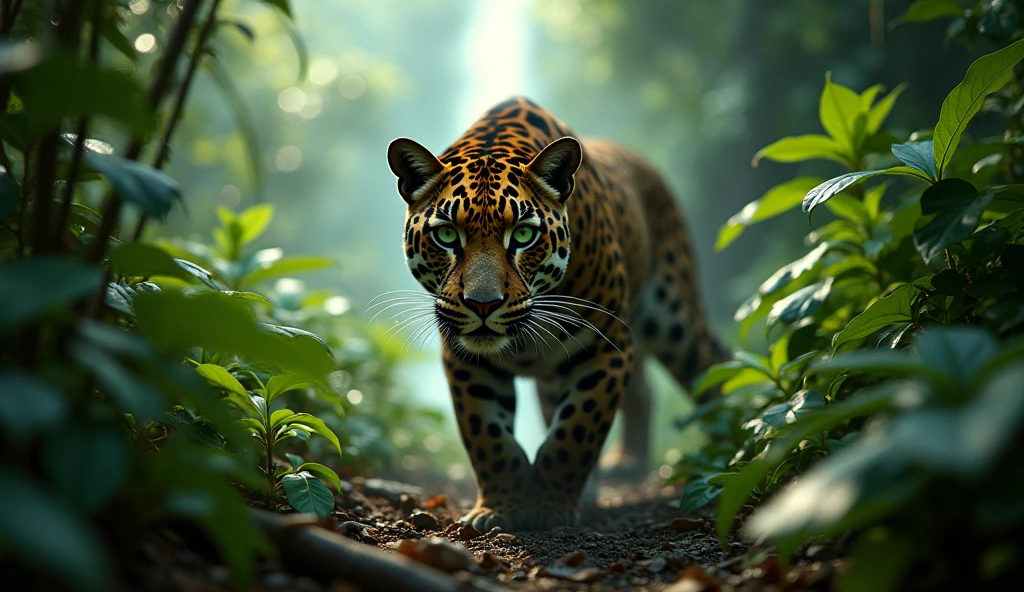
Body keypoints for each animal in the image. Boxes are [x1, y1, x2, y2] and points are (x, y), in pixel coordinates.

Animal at [384, 96, 730, 532]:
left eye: (523, 234)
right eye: (446, 235)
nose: (483, 304)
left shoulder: (605, 348)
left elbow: (575, 432)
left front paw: (551, 507)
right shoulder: (466, 359)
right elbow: (488, 437)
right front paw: (498, 507)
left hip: (673, 317)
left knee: (715, 366)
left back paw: (732, 455)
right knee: (638, 392)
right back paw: (625, 465)